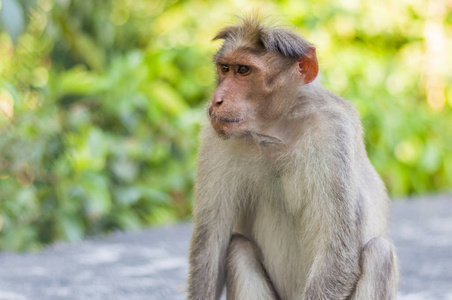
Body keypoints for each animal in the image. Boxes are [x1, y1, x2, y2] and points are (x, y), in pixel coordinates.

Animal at [187, 15, 400, 300]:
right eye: (225, 68)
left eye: (243, 70)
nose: (217, 100)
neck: (276, 131)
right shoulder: (215, 140)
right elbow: (211, 243)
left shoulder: (334, 133)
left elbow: (338, 254)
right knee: (238, 248)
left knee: (379, 253)